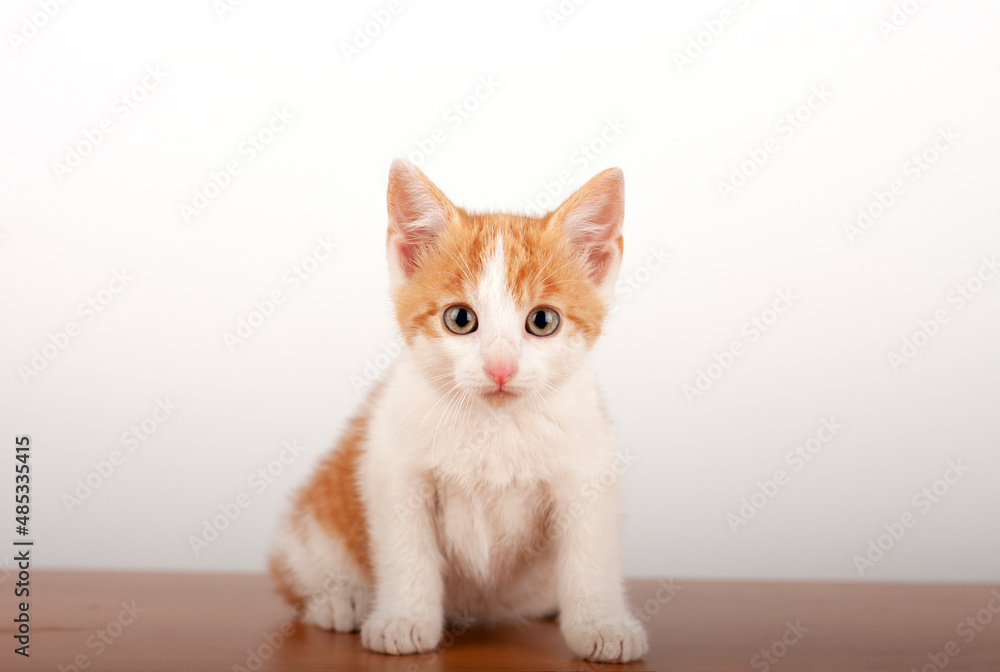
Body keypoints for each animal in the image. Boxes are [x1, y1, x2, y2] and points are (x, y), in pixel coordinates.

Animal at [270, 160, 648, 664]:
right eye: (460, 319)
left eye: (542, 321)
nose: (501, 368)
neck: (494, 424)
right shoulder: (393, 467)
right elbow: (406, 550)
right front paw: (404, 619)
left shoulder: (587, 469)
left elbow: (591, 555)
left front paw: (602, 624)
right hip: (311, 529)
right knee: (295, 572)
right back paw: (339, 600)